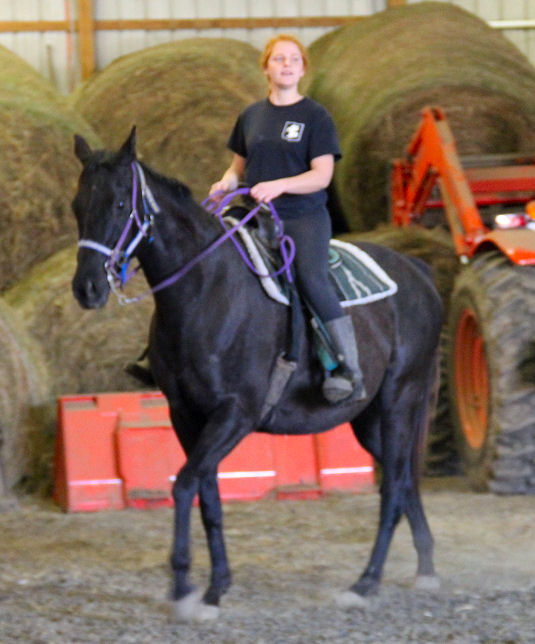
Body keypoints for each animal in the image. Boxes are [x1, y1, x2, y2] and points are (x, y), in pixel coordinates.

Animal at [71, 128, 443, 621]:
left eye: (117, 204)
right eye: (76, 206)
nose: (87, 288)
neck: (206, 290)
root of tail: (418, 271)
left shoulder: (236, 413)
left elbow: (185, 484)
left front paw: (184, 585)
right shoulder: (186, 415)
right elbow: (208, 494)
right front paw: (216, 588)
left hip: (401, 399)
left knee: (394, 487)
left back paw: (365, 583)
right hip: (370, 419)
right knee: (404, 481)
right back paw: (425, 569)